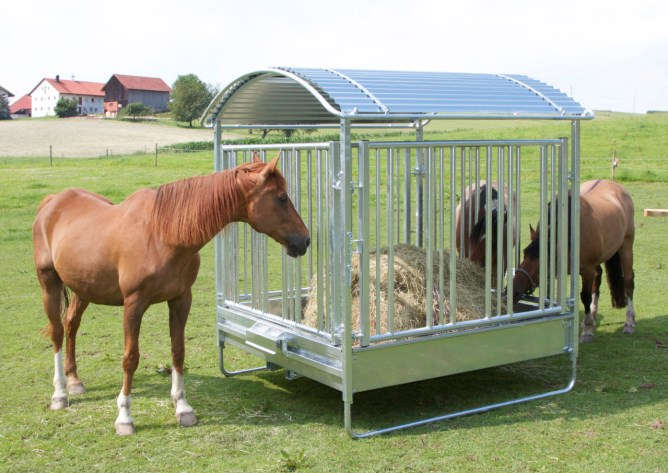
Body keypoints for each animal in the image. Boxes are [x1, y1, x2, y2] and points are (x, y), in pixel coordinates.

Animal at [32, 152, 309, 435]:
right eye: (281, 197)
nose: (305, 240)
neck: (164, 234)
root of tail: (52, 202)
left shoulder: (180, 299)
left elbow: (178, 351)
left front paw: (183, 408)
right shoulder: (134, 303)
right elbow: (130, 358)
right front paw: (124, 417)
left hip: (83, 289)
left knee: (71, 325)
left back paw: (74, 381)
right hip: (49, 282)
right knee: (57, 332)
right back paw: (60, 394)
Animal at [512, 179, 635, 342]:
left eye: (540, 263)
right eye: (525, 253)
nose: (513, 290)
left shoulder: (587, 270)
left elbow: (585, 296)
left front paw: (587, 331)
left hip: (626, 246)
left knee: (628, 282)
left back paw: (629, 322)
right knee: (598, 278)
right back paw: (592, 317)